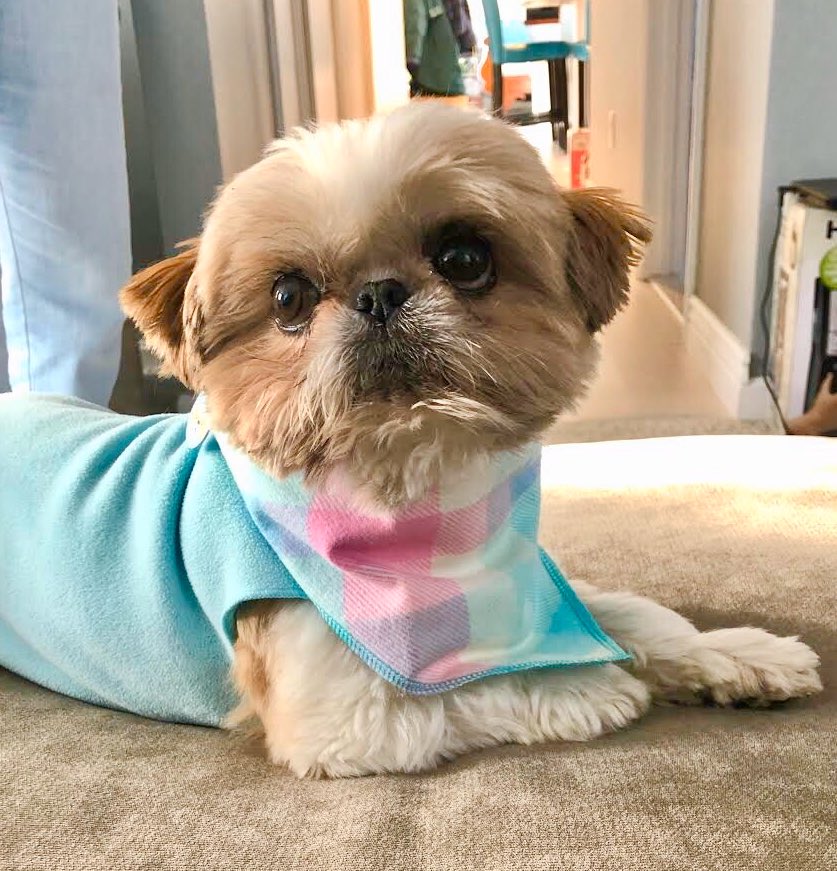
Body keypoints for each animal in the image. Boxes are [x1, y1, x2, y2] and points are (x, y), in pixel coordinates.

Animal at [0, 102, 824, 776]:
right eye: (288, 296)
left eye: (465, 258)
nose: (377, 294)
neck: (427, 507)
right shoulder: (342, 711)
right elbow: (474, 688)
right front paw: (584, 682)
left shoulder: (532, 582)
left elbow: (634, 613)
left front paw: (737, 652)